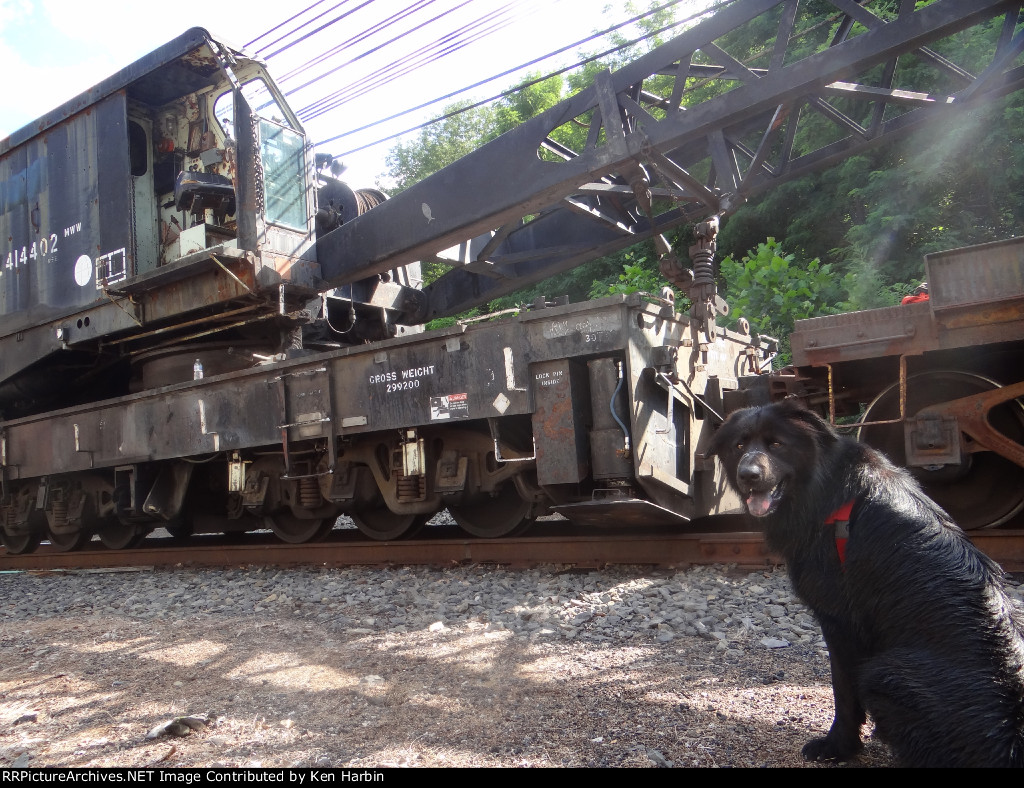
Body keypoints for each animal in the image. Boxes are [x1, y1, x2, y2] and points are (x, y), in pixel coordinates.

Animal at [708, 399, 1024, 761]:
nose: (748, 475)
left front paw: (838, 746)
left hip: (883, 674)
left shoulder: (840, 621)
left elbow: (844, 691)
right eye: (739, 446)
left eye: (776, 443)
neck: (823, 487)